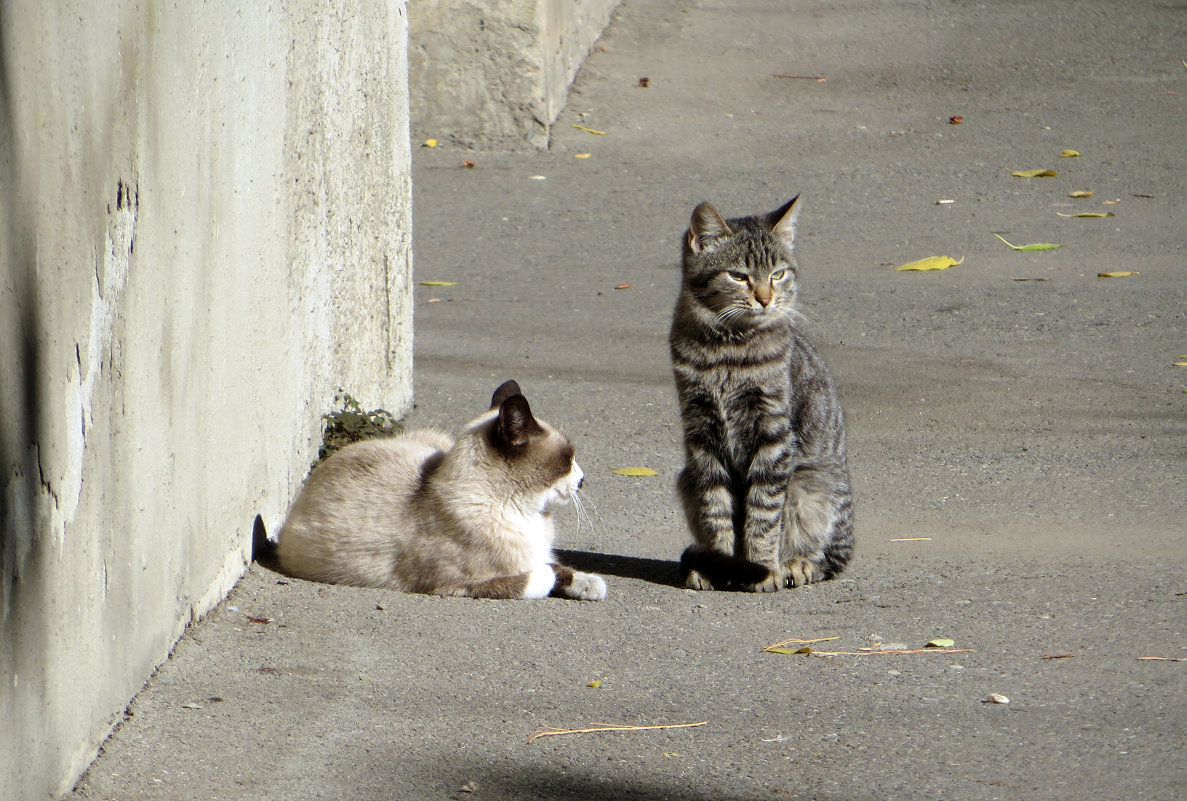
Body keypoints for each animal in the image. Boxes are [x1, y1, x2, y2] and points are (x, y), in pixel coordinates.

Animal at [268, 384, 602, 602]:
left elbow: (561, 567)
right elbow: (542, 575)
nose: (583, 479)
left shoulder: (538, 553)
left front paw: (590, 585)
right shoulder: (459, 585)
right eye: (568, 458)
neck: (524, 512)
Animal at [669, 196, 854, 593]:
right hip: (686, 477)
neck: (728, 351)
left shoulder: (772, 434)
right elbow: (716, 510)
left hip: (810, 485)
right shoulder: (702, 435)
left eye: (778, 274)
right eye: (739, 276)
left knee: (827, 558)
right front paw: (720, 566)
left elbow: (764, 514)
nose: (766, 299)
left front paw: (762, 569)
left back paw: (796, 565)